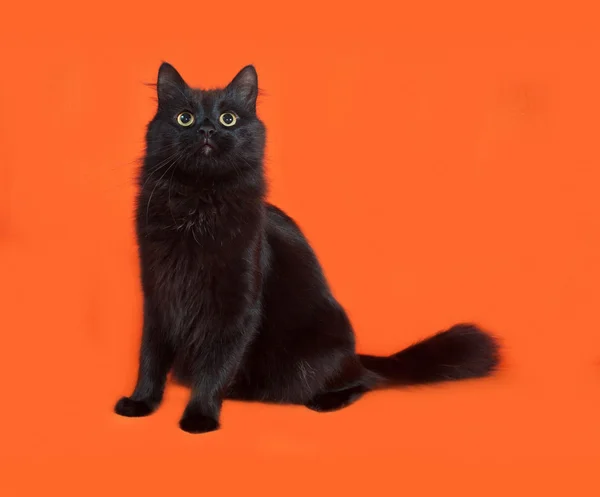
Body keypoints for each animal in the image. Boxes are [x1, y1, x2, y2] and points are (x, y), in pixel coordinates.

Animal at [115, 64, 500, 432]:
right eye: (185, 118)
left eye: (229, 119)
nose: (207, 130)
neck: (198, 206)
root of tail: (355, 356)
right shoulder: (159, 295)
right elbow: (149, 358)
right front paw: (141, 402)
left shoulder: (237, 304)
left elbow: (216, 366)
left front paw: (200, 417)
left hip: (311, 359)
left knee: (364, 383)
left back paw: (325, 401)